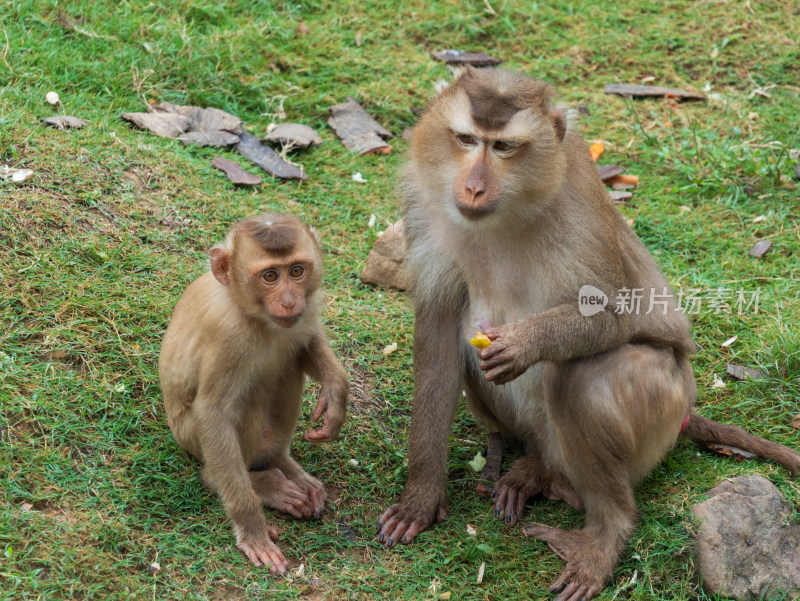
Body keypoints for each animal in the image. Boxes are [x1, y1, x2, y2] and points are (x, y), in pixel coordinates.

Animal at [161, 213, 348, 576]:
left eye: (296, 271)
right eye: (270, 276)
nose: (289, 301)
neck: (253, 314)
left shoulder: (306, 310)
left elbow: (306, 343)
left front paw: (337, 390)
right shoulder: (229, 338)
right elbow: (214, 412)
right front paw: (251, 527)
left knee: (288, 363)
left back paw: (282, 464)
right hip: (189, 437)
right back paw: (257, 484)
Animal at [376, 68, 800, 600]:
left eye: (504, 147)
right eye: (467, 139)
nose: (472, 187)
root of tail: (687, 407)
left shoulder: (578, 197)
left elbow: (611, 317)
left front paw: (527, 343)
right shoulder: (425, 207)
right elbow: (437, 333)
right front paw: (422, 497)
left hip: (664, 406)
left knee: (582, 379)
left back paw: (602, 532)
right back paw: (533, 467)